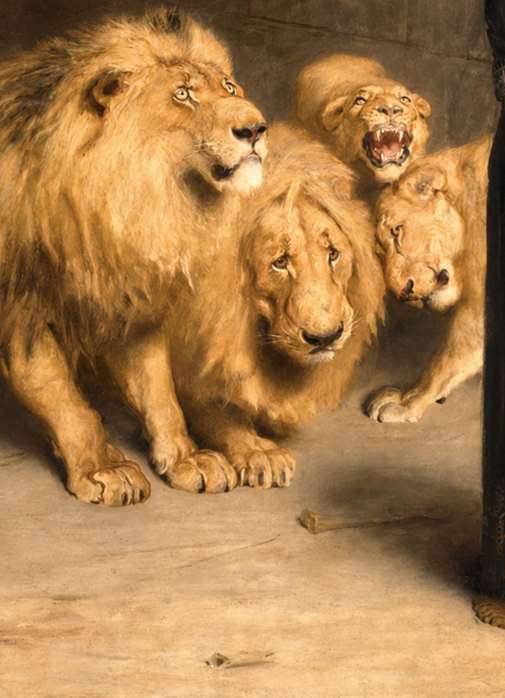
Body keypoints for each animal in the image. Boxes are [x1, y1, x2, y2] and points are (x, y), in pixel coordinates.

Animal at [0, 8, 267, 505]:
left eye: (229, 87)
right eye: (182, 94)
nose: (256, 130)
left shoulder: (130, 296)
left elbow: (158, 389)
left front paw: (188, 459)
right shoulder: (20, 308)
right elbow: (58, 392)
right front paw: (102, 469)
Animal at [366, 134, 492, 423]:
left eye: (396, 231)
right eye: (378, 253)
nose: (404, 293)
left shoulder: (478, 309)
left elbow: (444, 362)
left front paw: (405, 403)